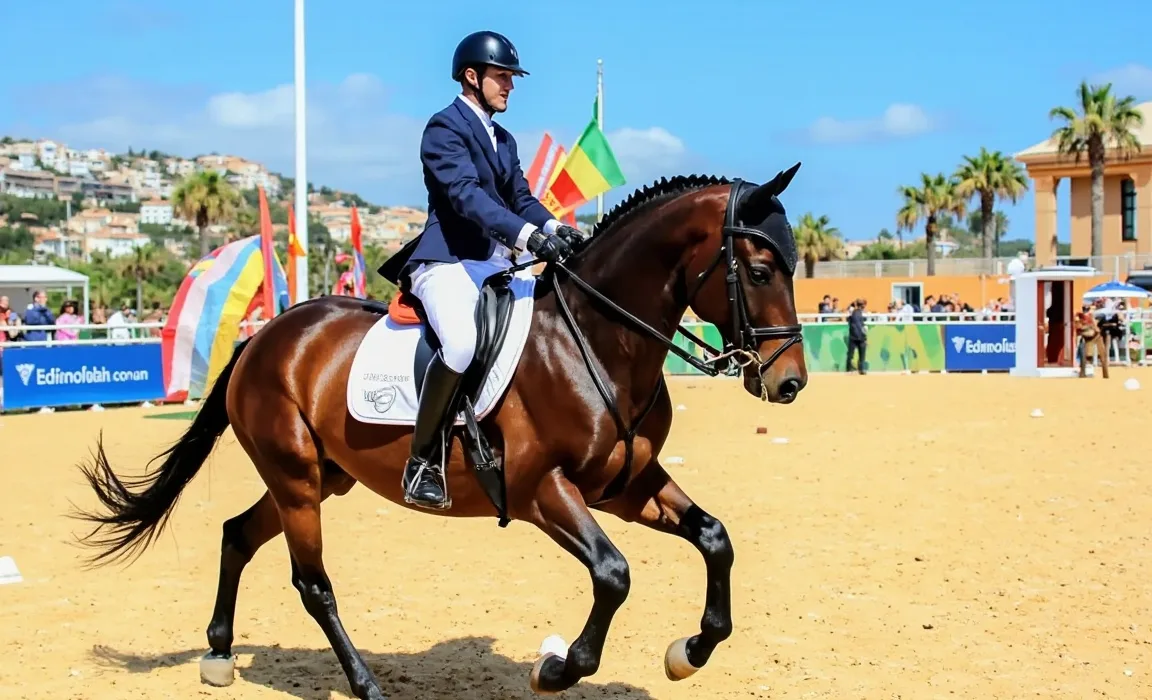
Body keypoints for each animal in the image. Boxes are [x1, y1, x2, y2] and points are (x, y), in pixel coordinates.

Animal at [72, 166, 810, 699]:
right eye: (761, 271)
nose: (790, 383)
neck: (597, 342)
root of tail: (267, 336)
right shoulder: (542, 490)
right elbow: (613, 574)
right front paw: (556, 669)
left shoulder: (625, 485)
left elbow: (715, 539)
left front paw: (690, 651)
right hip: (296, 478)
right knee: (313, 584)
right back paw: (365, 685)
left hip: (319, 478)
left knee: (237, 535)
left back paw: (220, 653)